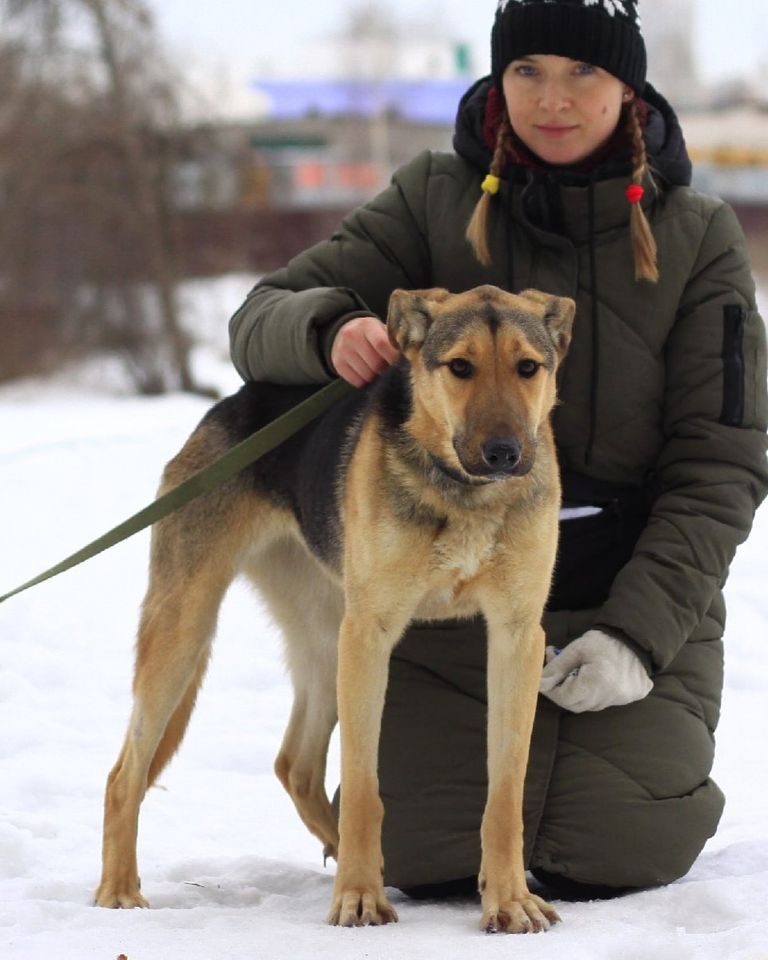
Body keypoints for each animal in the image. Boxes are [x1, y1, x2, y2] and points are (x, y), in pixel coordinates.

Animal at [94, 284, 568, 928]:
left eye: (527, 368)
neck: (463, 495)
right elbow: (364, 786)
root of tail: (229, 406)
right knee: (126, 774)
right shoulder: (371, 635)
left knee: (293, 764)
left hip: (323, 640)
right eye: (460, 367)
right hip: (188, 631)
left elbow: (505, 789)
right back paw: (119, 890)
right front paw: (359, 897)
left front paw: (509, 899)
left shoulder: (516, 636)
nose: (503, 453)